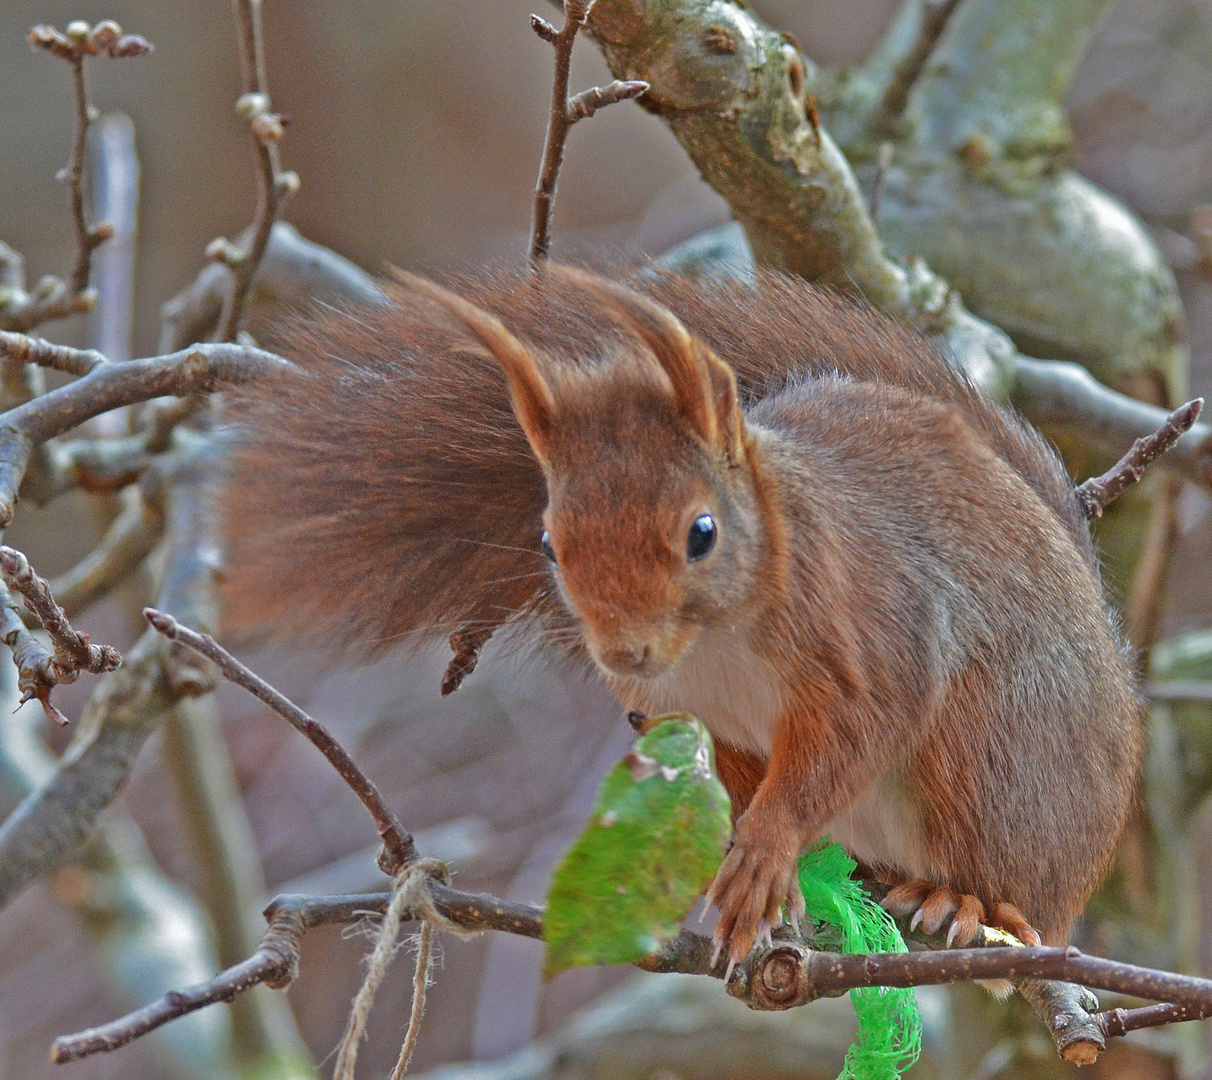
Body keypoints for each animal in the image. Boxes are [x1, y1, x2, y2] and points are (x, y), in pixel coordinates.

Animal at [223, 266, 1139, 964]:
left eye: (702, 533)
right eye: (548, 541)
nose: (624, 652)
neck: (716, 644)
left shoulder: (870, 632)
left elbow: (852, 736)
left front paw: (766, 848)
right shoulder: (699, 716)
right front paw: (734, 866)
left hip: (994, 758)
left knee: (1017, 882)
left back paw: (966, 901)